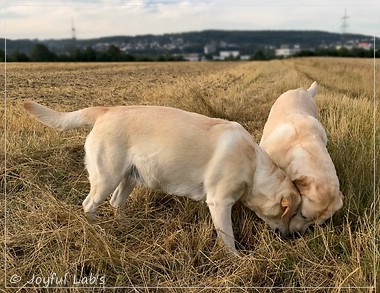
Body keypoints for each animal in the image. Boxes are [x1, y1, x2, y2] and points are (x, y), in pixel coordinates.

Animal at [25, 101, 302, 251]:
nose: (292, 237)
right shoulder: (219, 203)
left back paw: (124, 226)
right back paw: (96, 232)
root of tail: (105, 110)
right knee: (88, 205)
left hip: (130, 177)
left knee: (116, 202)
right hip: (106, 178)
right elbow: (228, 238)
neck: (254, 166)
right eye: (291, 214)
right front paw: (235, 258)